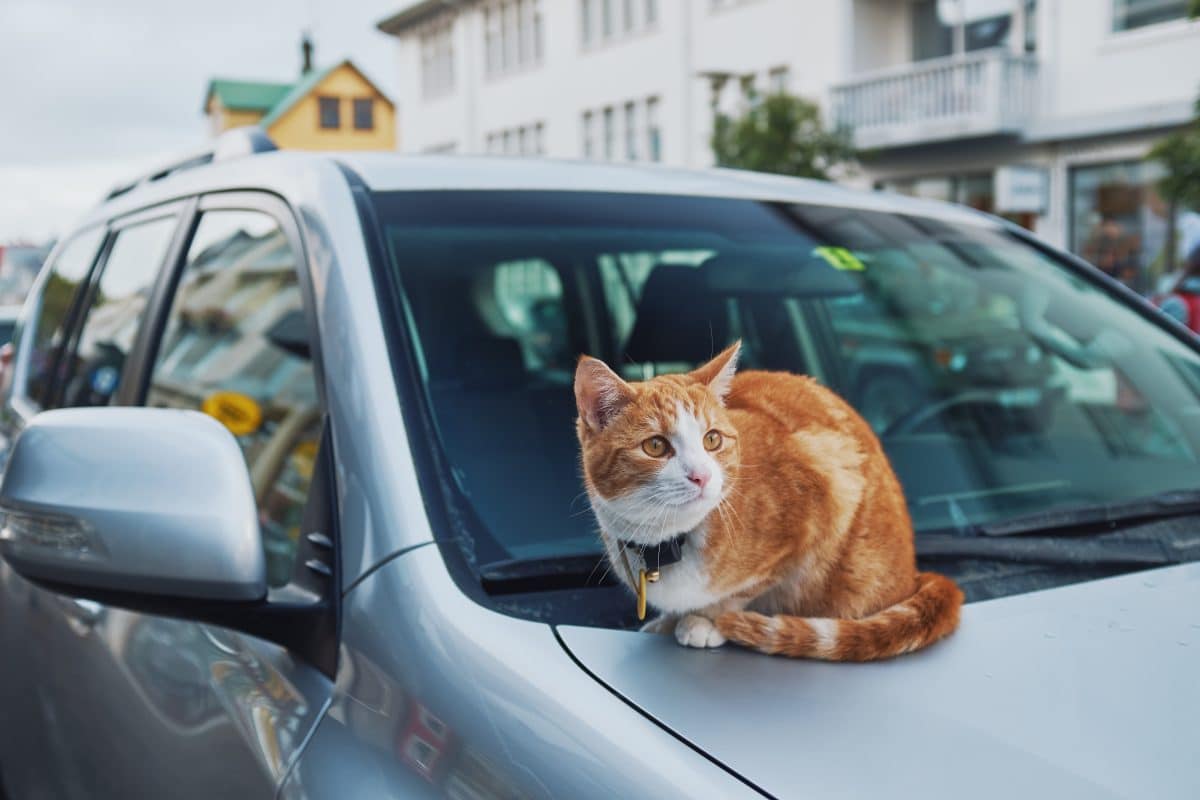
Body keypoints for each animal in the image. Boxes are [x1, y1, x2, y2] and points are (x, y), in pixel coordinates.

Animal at [576, 340, 960, 662]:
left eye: (712, 439)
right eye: (655, 446)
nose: (702, 476)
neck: (667, 539)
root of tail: (913, 573)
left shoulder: (822, 502)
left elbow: (738, 595)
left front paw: (706, 621)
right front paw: (671, 619)